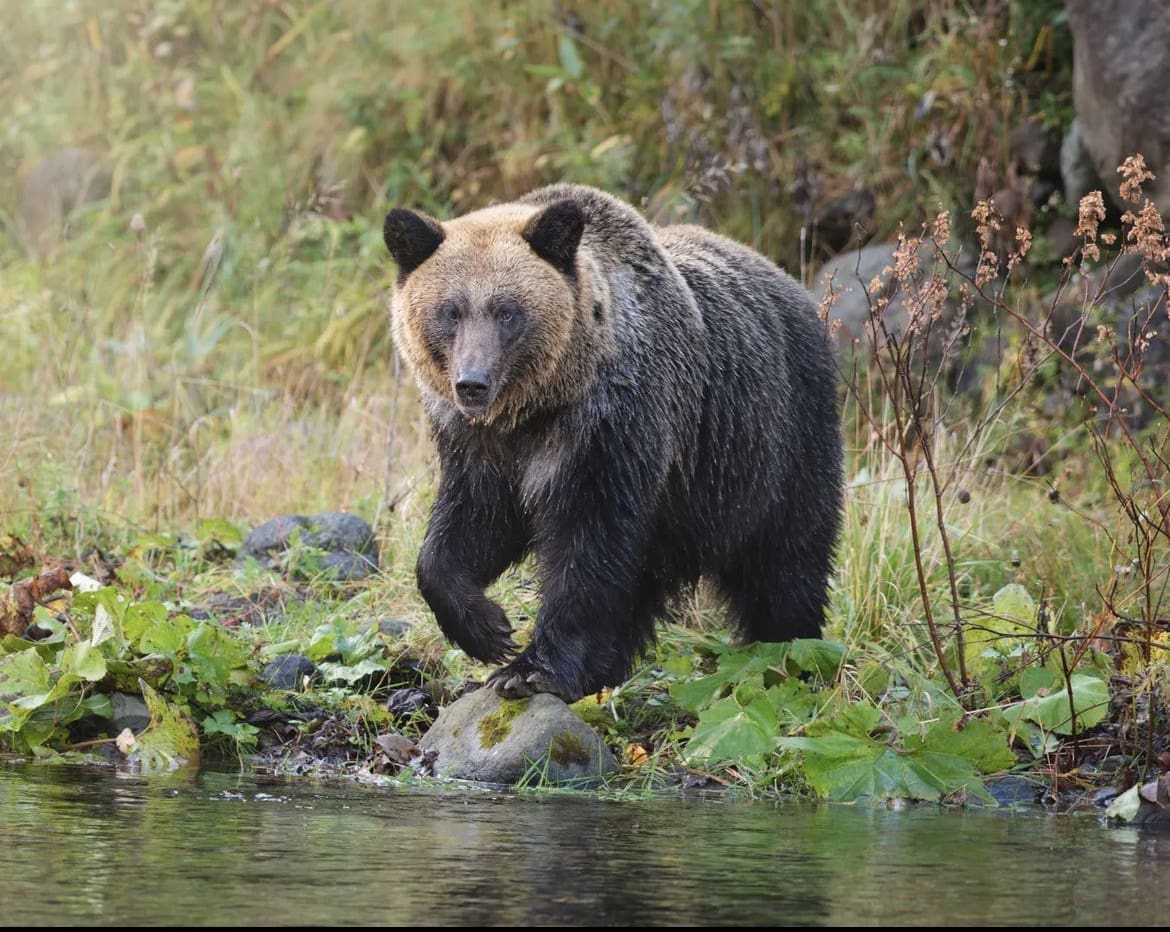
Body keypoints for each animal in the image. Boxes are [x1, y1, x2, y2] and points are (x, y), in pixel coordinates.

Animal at [388, 185, 847, 701]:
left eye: (507, 311)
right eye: (450, 311)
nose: (472, 383)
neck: (537, 410)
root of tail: (793, 284)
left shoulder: (610, 433)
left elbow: (587, 549)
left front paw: (530, 669)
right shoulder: (480, 448)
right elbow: (466, 528)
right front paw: (486, 630)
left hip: (774, 443)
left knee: (786, 559)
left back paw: (792, 652)